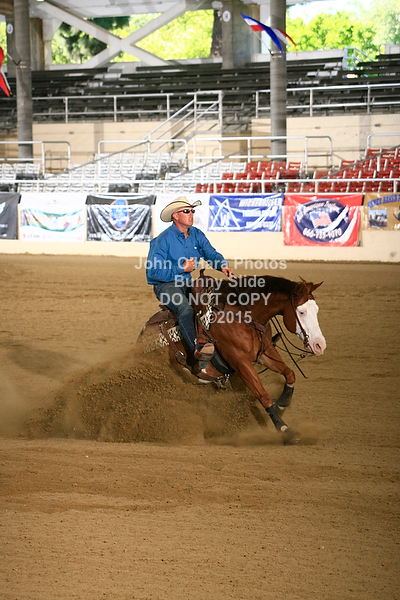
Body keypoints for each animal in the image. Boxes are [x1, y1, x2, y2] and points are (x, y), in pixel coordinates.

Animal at [140, 272, 326, 445]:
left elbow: (290, 373)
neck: (244, 316)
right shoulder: (240, 361)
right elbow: (263, 395)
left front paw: (281, 403)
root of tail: (142, 337)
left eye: (316, 310)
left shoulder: (264, 352)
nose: (320, 345)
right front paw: (286, 430)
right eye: (301, 311)